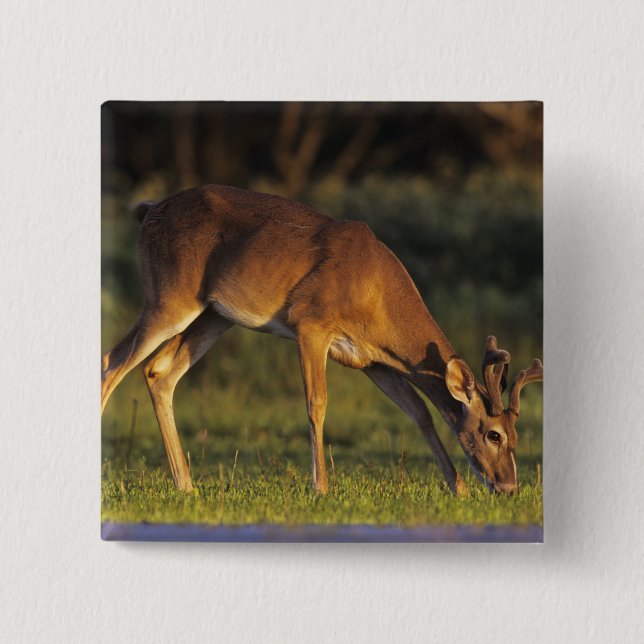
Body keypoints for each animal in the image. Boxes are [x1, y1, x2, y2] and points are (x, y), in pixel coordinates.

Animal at [101, 184, 542, 496]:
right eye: (494, 434)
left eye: (518, 435)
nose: (508, 487)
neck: (377, 294)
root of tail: (149, 211)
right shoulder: (310, 323)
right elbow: (317, 404)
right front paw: (322, 489)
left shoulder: (372, 360)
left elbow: (419, 413)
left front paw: (458, 487)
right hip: (169, 296)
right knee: (112, 363)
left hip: (214, 315)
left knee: (158, 373)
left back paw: (186, 485)